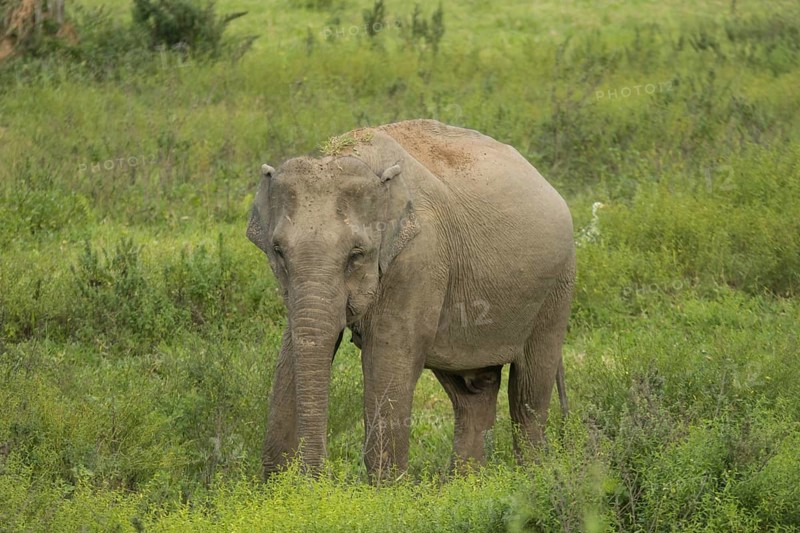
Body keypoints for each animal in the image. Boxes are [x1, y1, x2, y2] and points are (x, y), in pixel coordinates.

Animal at [246, 119, 575, 482]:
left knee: (528, 394)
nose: (318, 479)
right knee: (472, 392)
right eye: (278, 251)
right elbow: (294, 348)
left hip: (557, 287)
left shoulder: (419, 258)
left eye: (356, 254)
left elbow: (389, 357)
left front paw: (385, 492)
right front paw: (279, 488)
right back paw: (466, 486)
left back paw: (533, 477)